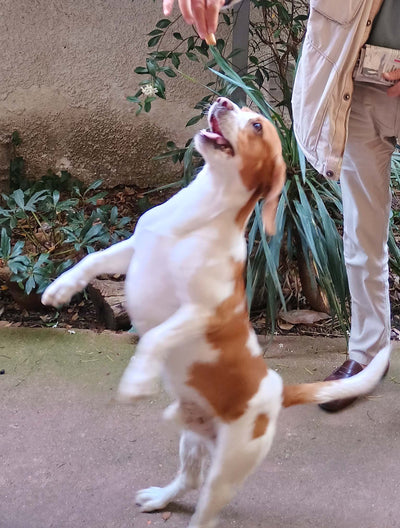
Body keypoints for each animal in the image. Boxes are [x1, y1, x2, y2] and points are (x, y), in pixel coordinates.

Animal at [42, 99, 390, 528]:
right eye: (239, 106)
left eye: (256, 125)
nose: (222, 101)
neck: (198, 211)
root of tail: (277, 389)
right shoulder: (134, 250)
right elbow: (92, 259)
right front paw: (60, 288)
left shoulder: (203, 310)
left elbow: (155, 337)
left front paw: (137, 380)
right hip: (191, 438)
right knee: (188, 480)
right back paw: (159, 497)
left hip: (227, 470)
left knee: (205, 507)